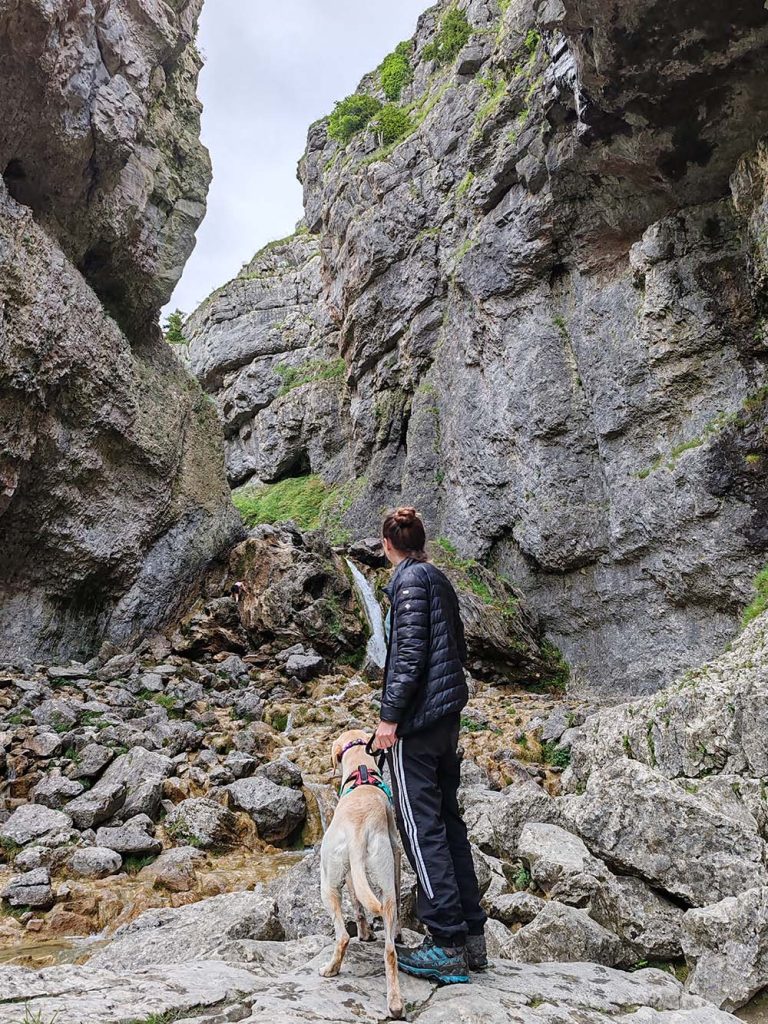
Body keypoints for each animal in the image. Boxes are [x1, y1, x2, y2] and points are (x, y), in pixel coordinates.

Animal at [319, 729, 405, 1015]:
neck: (361, 768)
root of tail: (357, 832)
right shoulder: (396, 852)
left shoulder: (348, 874)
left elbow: (357, 905)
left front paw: (365, 933)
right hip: (384, 880)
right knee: (390, 949)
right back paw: (395, 1003)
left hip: (327, 883)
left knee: (343, 936)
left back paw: (331, 969)